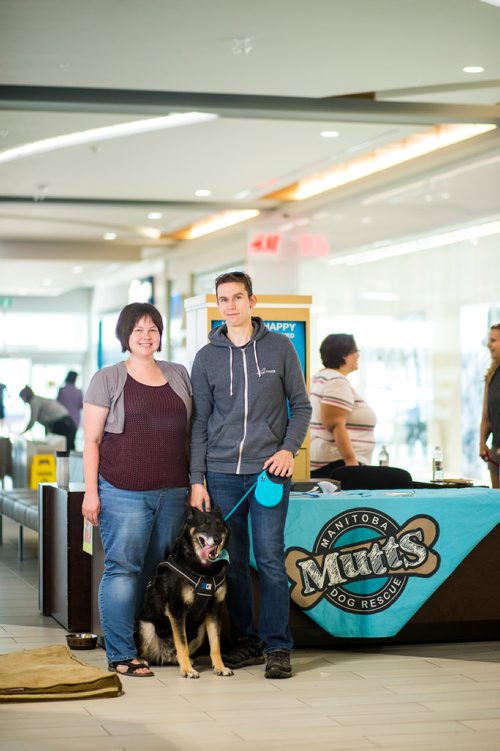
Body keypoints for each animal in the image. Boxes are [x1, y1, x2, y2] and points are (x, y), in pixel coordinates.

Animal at [135, 508, 232, 680]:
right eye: (204, 525)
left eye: (220, 525)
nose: (217, 539)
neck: (204, 571)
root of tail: (164, 655)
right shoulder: (177, 611)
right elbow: (182, 644)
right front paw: (187, 670)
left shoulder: (214, 611)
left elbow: (215, 645)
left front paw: (220, 668)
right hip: (146, 626)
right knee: (144, 651)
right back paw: (142, 662)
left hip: (200, 631)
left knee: (178, 653)